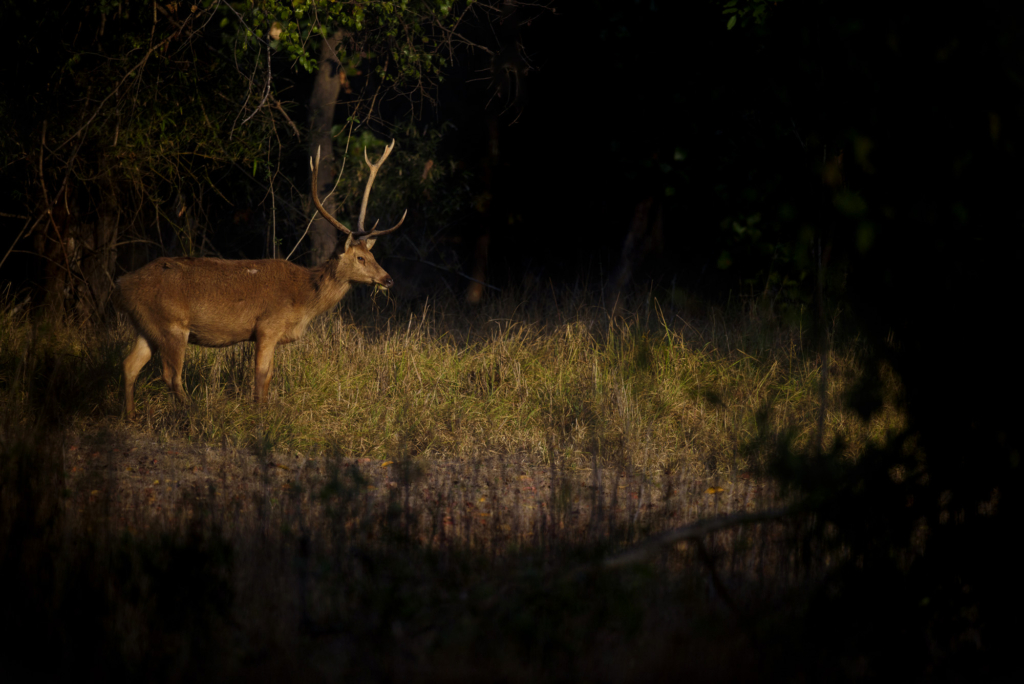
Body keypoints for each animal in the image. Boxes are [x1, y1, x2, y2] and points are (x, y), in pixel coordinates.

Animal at [110, 140, 401, 417]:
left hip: (147, 325)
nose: (388, 279)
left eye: (371, 254)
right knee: (170, 375)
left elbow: (269, 377)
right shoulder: (268, 325)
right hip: (172, 323)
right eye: (360, 258)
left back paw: (131, 416)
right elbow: (260, 377)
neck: (303, 298)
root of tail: (121, 286)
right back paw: (194, 411)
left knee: (129, 365)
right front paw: (259, 415)